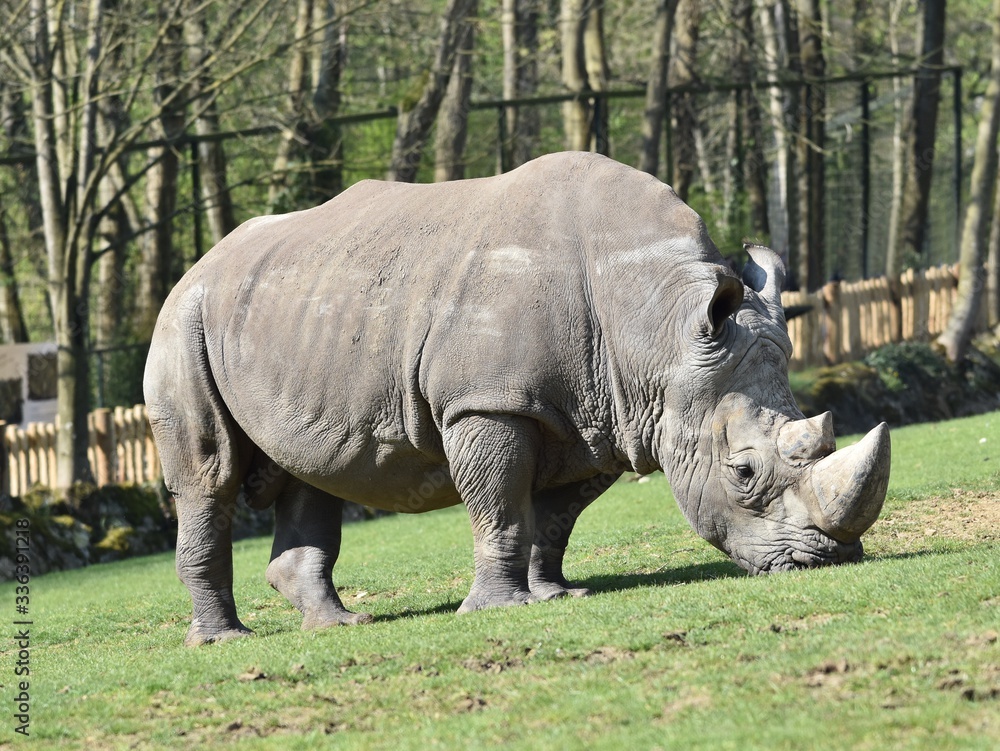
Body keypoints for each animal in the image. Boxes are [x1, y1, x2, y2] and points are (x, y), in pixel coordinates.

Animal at [144, 151, 890, 646]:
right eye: (743, 471)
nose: (824, 559)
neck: (657, 327)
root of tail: (200, 263)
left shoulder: (599, 417)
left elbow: (554, 517)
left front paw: (557, 593)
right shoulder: (490, 402)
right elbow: (500, 506)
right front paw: (504, 610)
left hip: (290, 314)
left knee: (312, 467)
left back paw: (339, 624)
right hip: (186, 320)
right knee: (209, 474)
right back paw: (226, 641)